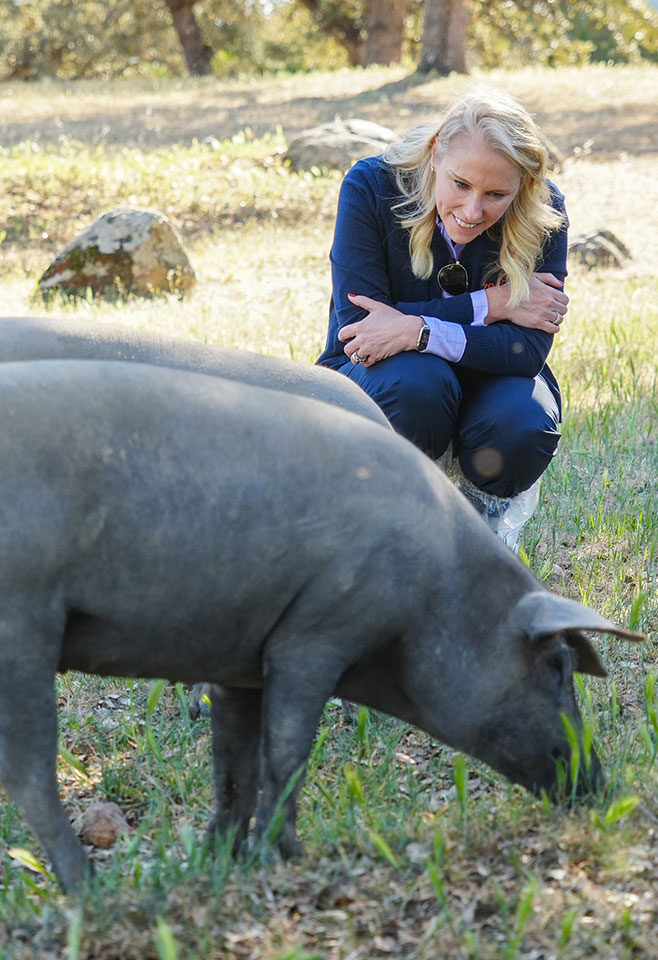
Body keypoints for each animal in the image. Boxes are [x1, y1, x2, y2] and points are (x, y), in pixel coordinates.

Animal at [0, 360, 640, 892]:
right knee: (30, 775)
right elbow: (286, 754)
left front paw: (220, 860)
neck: (436, 586)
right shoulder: (314, 636)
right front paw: (283, 858)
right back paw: (90, 890)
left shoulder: (238, 660)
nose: (602, 787)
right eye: (557, 663)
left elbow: (233, 763)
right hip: (23, 626)